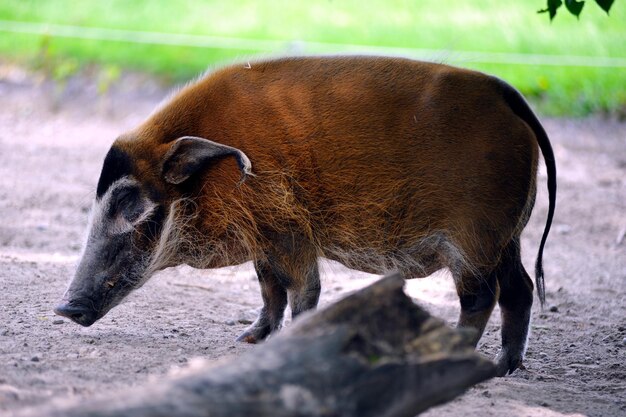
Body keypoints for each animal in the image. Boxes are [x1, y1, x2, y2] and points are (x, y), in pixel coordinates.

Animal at [54, 56, 556, 376]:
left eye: (129, 204)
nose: (62, 308)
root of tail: (508, 95)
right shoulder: (262, 240)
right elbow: (269, 290)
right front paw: (248, 340)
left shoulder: (288, 231)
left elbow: (302, 290)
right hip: (506, 237)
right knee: (520, 288)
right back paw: (505, 367)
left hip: (473, 239)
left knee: (481, 296)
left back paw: (459, 358)